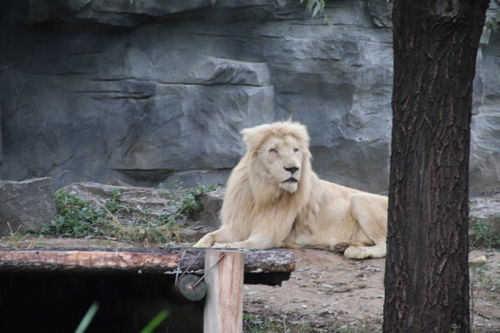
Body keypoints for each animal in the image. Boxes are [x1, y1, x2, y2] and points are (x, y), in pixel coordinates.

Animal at [193, 120, 388, 258]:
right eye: (273, 150)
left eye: (296, 150)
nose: (293, 168)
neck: (261, 192)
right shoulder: (238, 226)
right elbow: (207, 236)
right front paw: (198, 246)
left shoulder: (268, 235)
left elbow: (240, 245)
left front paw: (221, 246)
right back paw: (342, 245)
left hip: (359, 199)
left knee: (384, 244)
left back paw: (356, 251)